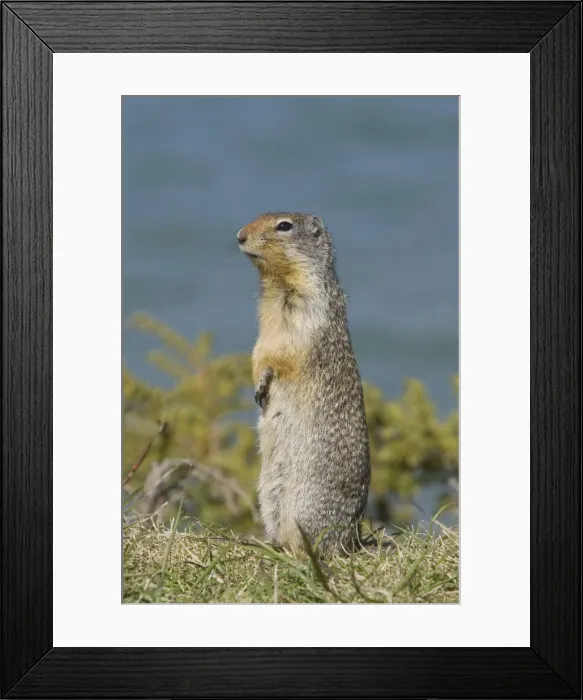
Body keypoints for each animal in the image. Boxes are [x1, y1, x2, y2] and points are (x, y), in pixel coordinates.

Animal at [237, 212, 371, 556]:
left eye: (284, 226)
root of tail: (350, 538)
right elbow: (257, 348)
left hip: (304, 505)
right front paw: (256, 383)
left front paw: (262, 382)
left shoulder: (308, 312)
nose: (240, 236)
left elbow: (281, 352)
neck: (277, 283)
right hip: (270, 499)